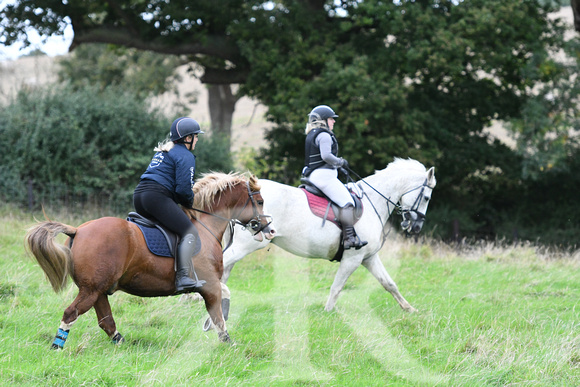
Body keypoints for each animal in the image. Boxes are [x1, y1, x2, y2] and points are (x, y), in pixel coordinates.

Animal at [24, 173, 274, 348]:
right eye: (260, 201)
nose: (270, 230)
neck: (206, 225)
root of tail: (78, 230)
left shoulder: (210, 284)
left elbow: (222, 302)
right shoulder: (210, 284)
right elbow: (219, 315)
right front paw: (227, 341)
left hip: (97, 290)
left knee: (106, 321)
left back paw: (122, 344)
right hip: (91, 290)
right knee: (71, 314)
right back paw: (57, 347)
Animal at [220, 159, 438, 314]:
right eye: (427, 197)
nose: (416, 227)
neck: (372, 201)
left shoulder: (368, 257)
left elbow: (389, 283)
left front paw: (409, 309)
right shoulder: (353, 258)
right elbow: (337, 286)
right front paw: (328, 312)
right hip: (245, 246)